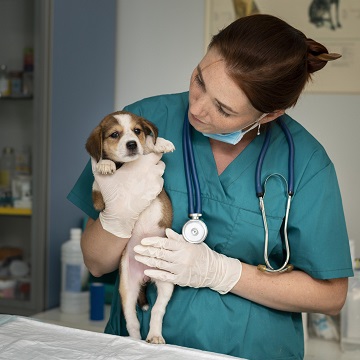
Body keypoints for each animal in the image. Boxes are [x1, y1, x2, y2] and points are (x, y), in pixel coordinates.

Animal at [84, 109, 174, 344]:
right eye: (114, 134)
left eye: (137, 131)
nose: (132, 144)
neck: (126, 166)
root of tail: (145, 275)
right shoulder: (99, 201)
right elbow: (97, 182)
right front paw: (104, 164)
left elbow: (148, 149)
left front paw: (159, 143)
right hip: (127, 287)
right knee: (132, 320)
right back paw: (134, 340)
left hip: (166, 282)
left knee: (157, 311)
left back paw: (154, 336)